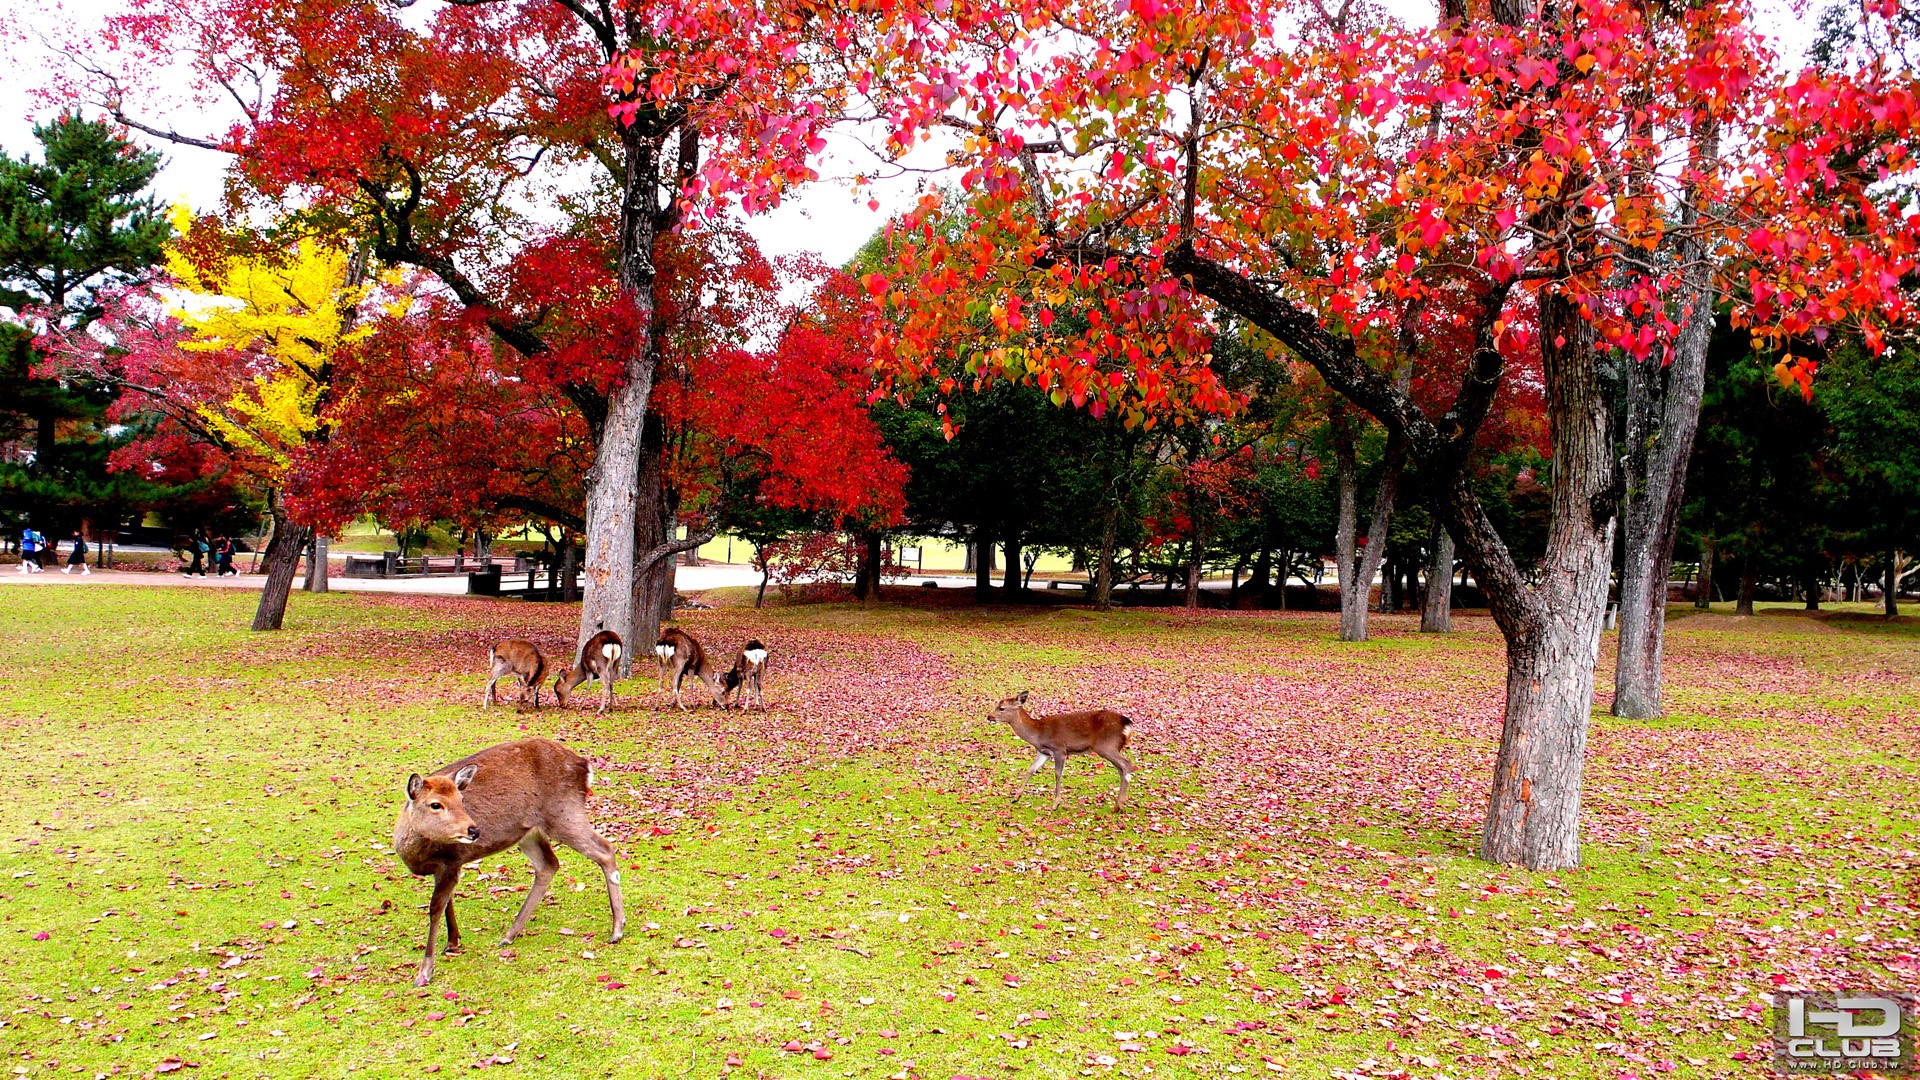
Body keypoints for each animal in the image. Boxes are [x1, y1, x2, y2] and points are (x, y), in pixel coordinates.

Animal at [393, 734, 625, 980]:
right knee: (548, 864)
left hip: (564, 814)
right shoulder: (444, 868)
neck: (418, 855)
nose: (473, 830)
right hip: (529, 831)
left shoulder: (453, 860)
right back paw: (509, 935)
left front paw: (424, 972)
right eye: (435, 804)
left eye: (461, 800)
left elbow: (436, 907)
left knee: (605, 849)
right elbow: (447, 903)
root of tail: (585, 766)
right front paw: (452, 942)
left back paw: (617, 930)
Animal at [990, 687, 1136, 807]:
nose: (989, 716)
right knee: (1121, 769)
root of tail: (1127, 724)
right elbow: (1031, 769)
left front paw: (1056, 803)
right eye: (996, 705)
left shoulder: (1059, 749)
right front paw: (1016, 797)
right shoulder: (1044, 752)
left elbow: (1058, 773)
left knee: (1126, 764)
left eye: (1002, 708)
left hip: (1107, 745)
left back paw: (1120, 805)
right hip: (1111, 747)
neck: (1038, 734)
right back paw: (1118, 803)